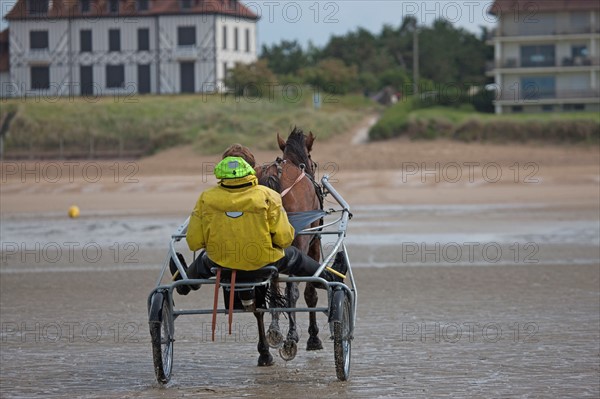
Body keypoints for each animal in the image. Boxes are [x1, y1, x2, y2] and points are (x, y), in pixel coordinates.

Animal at [256, 127, 326, 356]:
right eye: (312, 159)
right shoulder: (313, 243)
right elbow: (309, 292)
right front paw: (313, 337)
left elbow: (275, 287)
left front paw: (275, 329)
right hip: (300, 243)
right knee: (292, 290)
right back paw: (291, 338)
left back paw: (269, 342)